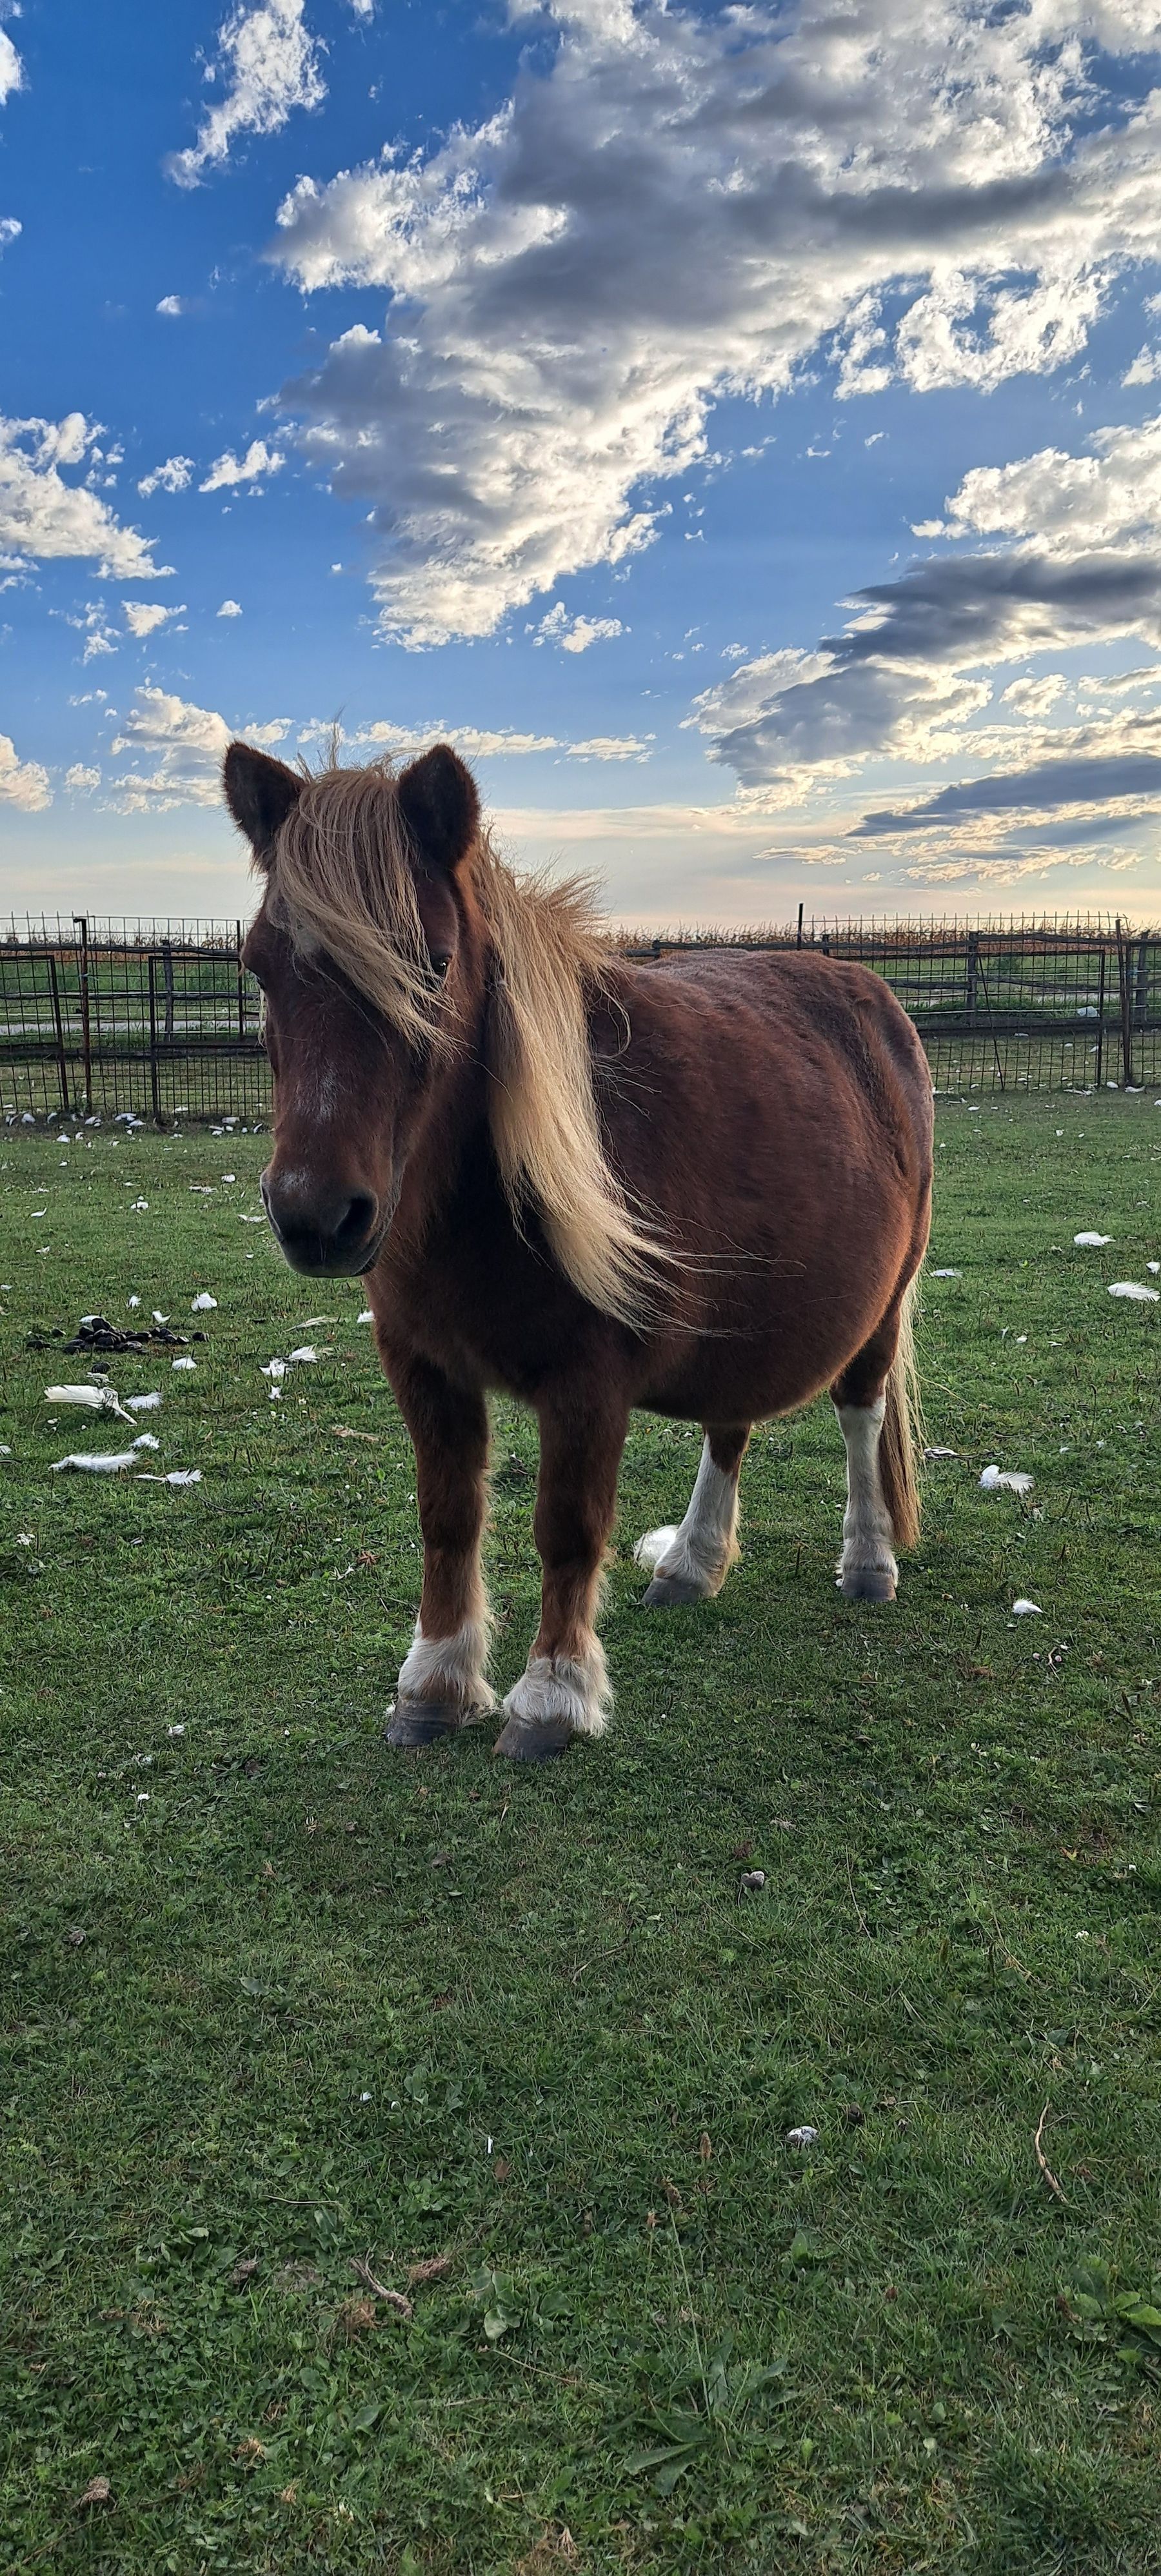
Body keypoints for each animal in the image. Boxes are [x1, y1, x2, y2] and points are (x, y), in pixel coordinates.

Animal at [225, 737, 933, 1761]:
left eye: (433, 966)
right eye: (259, 968)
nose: (317, 1216)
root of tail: (877, 1001)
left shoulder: (589, 1380)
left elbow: (566, 1525)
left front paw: (551, 1696)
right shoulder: (421, 1363)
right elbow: (448, 1516)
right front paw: (435, 1682)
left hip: (880, 1309)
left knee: (860, 1414)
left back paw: (869, 1561)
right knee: (731, 1422)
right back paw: (692, 1564)